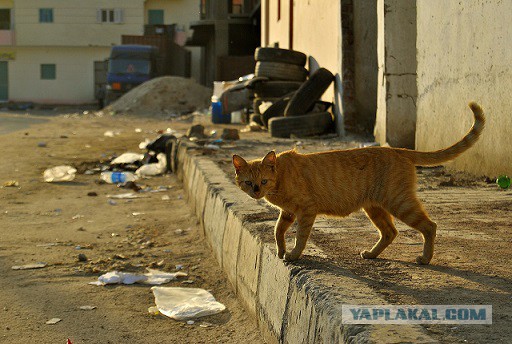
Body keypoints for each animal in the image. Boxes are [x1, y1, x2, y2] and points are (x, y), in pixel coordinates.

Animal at [234, 101, 486, 264]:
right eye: (248, 182)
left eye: (263, 181)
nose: (256, 192)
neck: (280, 180)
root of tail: (398, 149)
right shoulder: (287, 212)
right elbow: (277, 231)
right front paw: (280, 250)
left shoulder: (306, 210)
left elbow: (301, 236)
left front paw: (294, 254)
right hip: (375, 207)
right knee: (390, 232)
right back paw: (372, 254)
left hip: (400, 203)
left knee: (429, 226)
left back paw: (424, 258)